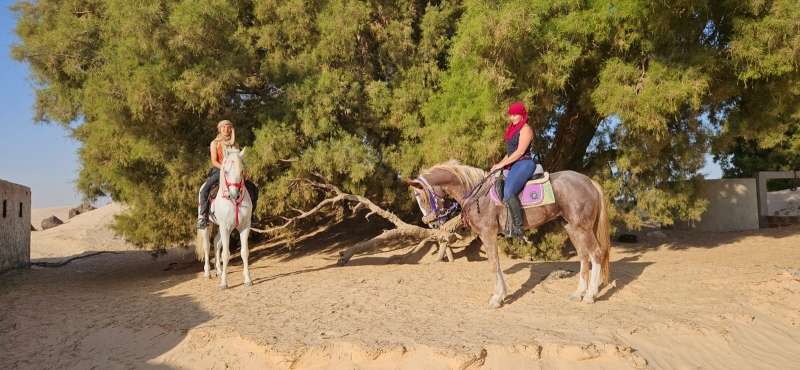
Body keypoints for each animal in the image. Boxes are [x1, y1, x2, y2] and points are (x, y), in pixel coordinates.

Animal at [195, 146, 253, 290]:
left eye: (242, 171)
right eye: (226, 171)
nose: (234, 195)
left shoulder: (244, 227)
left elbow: (244, 252)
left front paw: (247, 279)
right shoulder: (225, 227)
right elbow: (226, 254)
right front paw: (223, 283)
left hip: (222, 228)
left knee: (216, 243)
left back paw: (219, 271)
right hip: (208, 226)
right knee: (207, 246)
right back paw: (207, 273)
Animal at [406, 160, 612, 308]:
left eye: (422, 198)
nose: (432, 222)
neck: (477, 193)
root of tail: (588, 181)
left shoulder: (488, 233)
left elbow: (493, 264)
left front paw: (497, 298)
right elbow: (495, 265)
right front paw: (501, 295)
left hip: (582, 227)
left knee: (597, 253)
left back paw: (590, 295)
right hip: (571, 227)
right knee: (583, 255)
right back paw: (579, 293)